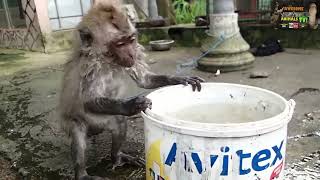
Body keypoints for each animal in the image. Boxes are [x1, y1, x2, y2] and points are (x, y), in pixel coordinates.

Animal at [58, 0, 204, 179]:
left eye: (131, 40)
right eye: (120, 44)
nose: (131, 54)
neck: (109, 60)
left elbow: (144, 80)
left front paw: (179, 79)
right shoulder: (91, 67)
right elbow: (88, 101)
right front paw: (132, 105)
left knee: (119, 122)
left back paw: (117, 157)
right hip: (80, 121)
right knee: (79, 136)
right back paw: (82, 174)